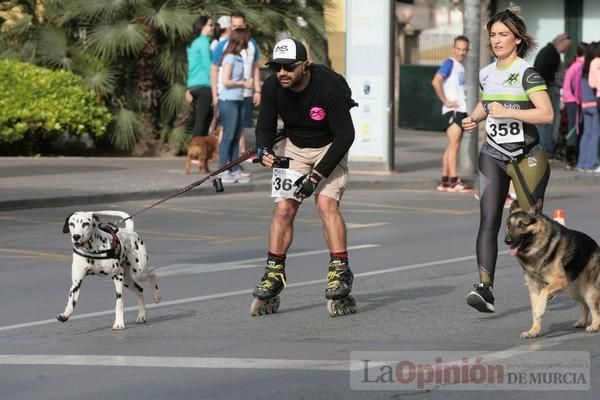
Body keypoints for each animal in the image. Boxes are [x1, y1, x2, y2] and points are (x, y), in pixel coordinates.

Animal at [506, 200, 600, 338]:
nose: (507, 241)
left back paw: (594, 326)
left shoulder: (559, 281)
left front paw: (540, 310)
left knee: (595, 309)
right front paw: (533, 331)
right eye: (508, 225)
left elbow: (544, 292)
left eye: (522, 224)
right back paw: (582, 322)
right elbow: (534, 310)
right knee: (585, 305)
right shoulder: (533, 288)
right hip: (575, 292)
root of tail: (596, 246)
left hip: (588, 290)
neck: (538, 247)